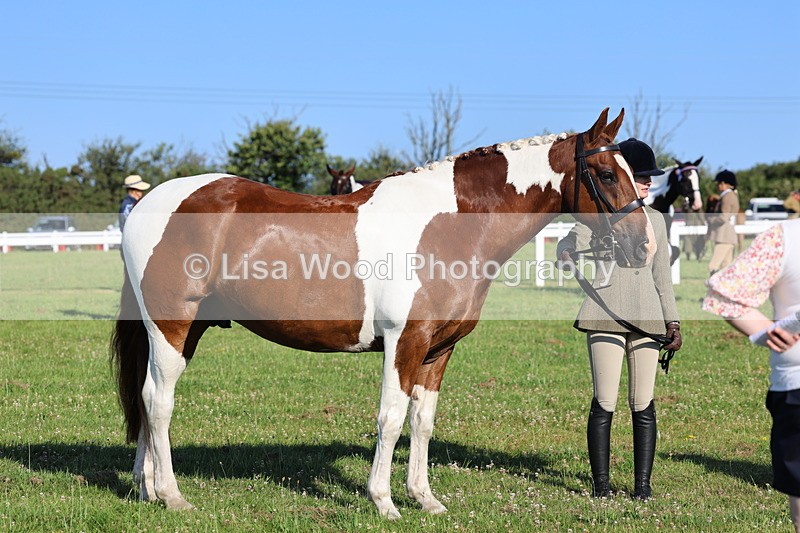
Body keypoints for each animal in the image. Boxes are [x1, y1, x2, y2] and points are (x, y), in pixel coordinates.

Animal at [111, 108, 656, 519]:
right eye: (607, 174)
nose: (644, 247)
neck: (449, 226)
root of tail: (151, 202)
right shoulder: (404, 341)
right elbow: (391, 418)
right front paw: (384, 502)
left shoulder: (438, 350)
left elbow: (422, 423)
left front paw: (425, 499)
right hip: (171, 325)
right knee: (158, 400)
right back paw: (172, 496)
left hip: (187, 329)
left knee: (146, 396)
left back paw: (145, 487)